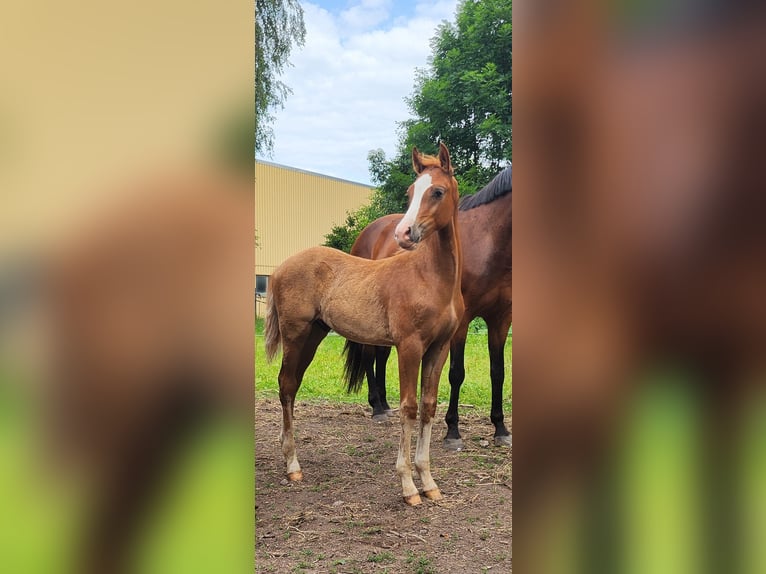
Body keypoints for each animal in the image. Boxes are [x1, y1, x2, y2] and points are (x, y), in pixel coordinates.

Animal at [268, 142, 464, 506]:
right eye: (410, 192)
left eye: (437, 191)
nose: (404, 233)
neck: (431, 277)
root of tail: (279, 268)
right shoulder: (408, 346)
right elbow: (408, 407)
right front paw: (408, 487)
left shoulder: (439, 347)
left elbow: (428, 406)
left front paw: (429, 483)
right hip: (295, 334)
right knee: (286, 385)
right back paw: (292, 466)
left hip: (314, 335)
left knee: (292, 385)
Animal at [352, 166, 512, 450]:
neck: (489, 240)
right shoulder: (461, 322)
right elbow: (456, 373)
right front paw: (453, 431)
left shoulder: (501, 319)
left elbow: (498, 372)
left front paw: (500, 428)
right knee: (370, 355)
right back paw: (377, 408)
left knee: (381, 355)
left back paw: (384, 403)